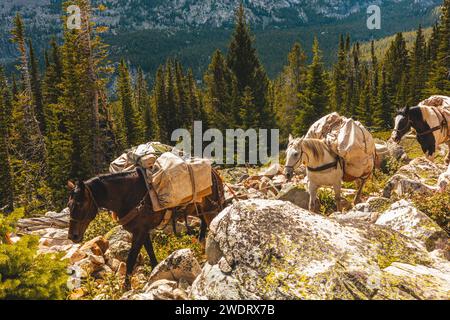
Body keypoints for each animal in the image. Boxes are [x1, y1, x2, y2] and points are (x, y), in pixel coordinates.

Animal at [67, 168, 225, 288]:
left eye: (80, 204)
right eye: (69, 205)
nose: (72, 236)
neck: (129, 197)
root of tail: (215, 172)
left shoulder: (140, 232)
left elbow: (131, 259)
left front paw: (126, 287)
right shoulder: (143, 231)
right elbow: (150, 252)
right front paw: (155, 273)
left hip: (211, 209)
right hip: (198, 210)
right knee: (203, 225)